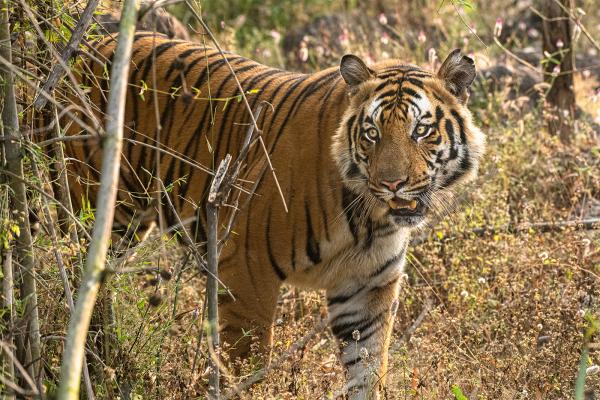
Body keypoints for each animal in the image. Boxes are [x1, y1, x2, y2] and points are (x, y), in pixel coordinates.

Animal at [64, 32, 488, 398]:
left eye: (421, 131)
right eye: (372, 133)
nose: (392, 183)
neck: (370, 217)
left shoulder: (368, 289)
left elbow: (367, 373)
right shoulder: (246, 271)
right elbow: (245, 366)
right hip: (89, 209)